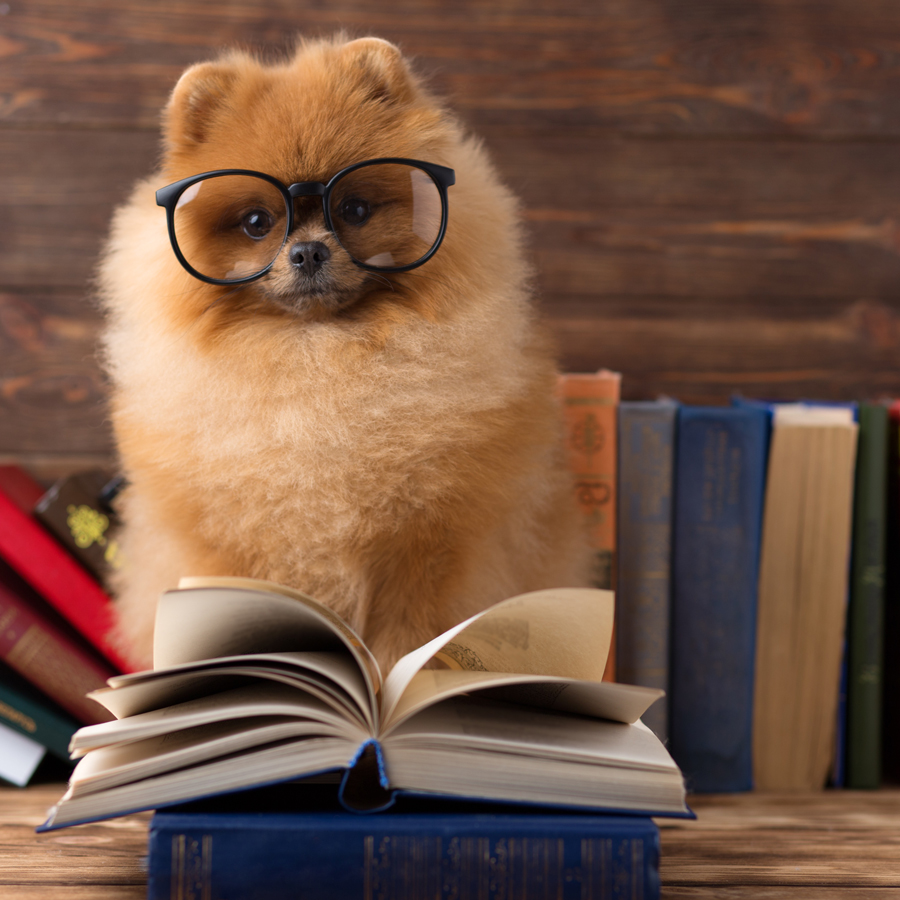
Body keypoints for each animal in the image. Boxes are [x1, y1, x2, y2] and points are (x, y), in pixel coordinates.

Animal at [98, 35, 592, 672]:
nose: (308, 252)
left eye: (354, 210)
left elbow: (407, 643)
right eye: (256, 222)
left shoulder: (427, 548)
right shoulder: (228, 550)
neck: (321, 366)